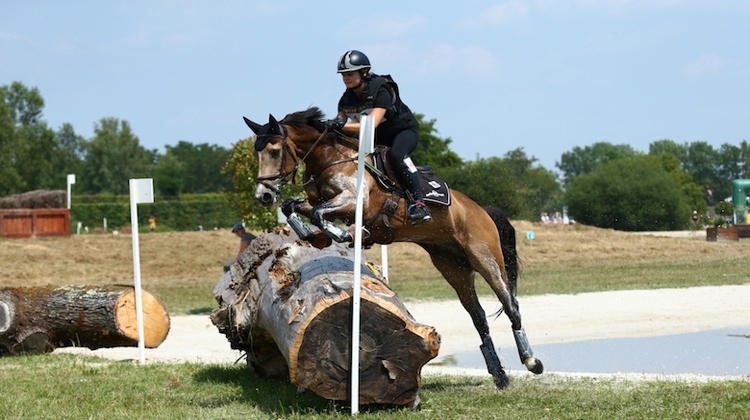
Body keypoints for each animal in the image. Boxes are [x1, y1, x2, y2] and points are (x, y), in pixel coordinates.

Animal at [244, 106, 544, 388]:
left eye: (274, 151)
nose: (263, 195)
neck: (329, 158)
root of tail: (481, 210)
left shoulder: (355, 202)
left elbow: (319, 213)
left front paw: (345, 233)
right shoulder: (320, 201)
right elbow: (294, 206)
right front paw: (315, 235)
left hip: (485, 258)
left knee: (511, 304)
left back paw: (532, 362)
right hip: (453, 267)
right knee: (478, 316)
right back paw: (499, 375)